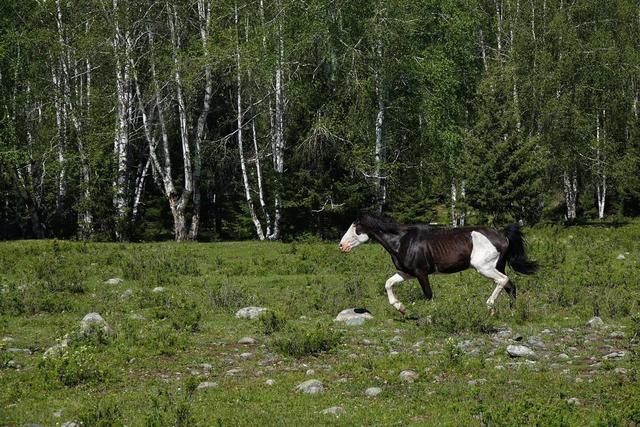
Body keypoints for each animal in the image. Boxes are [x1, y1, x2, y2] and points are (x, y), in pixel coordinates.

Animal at [338, 216, 536, 316]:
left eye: (356, 229)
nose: (341, 246)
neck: (402, 241)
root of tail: (502, 234)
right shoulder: (406, 273)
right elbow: (388, 283)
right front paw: (401, 308)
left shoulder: (421, 273)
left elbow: (428, 295)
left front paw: (430, 317)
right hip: (497, 266)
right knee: (510, 285)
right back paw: (512, 312)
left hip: (485, 268)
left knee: (503, 281)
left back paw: (490, 307)